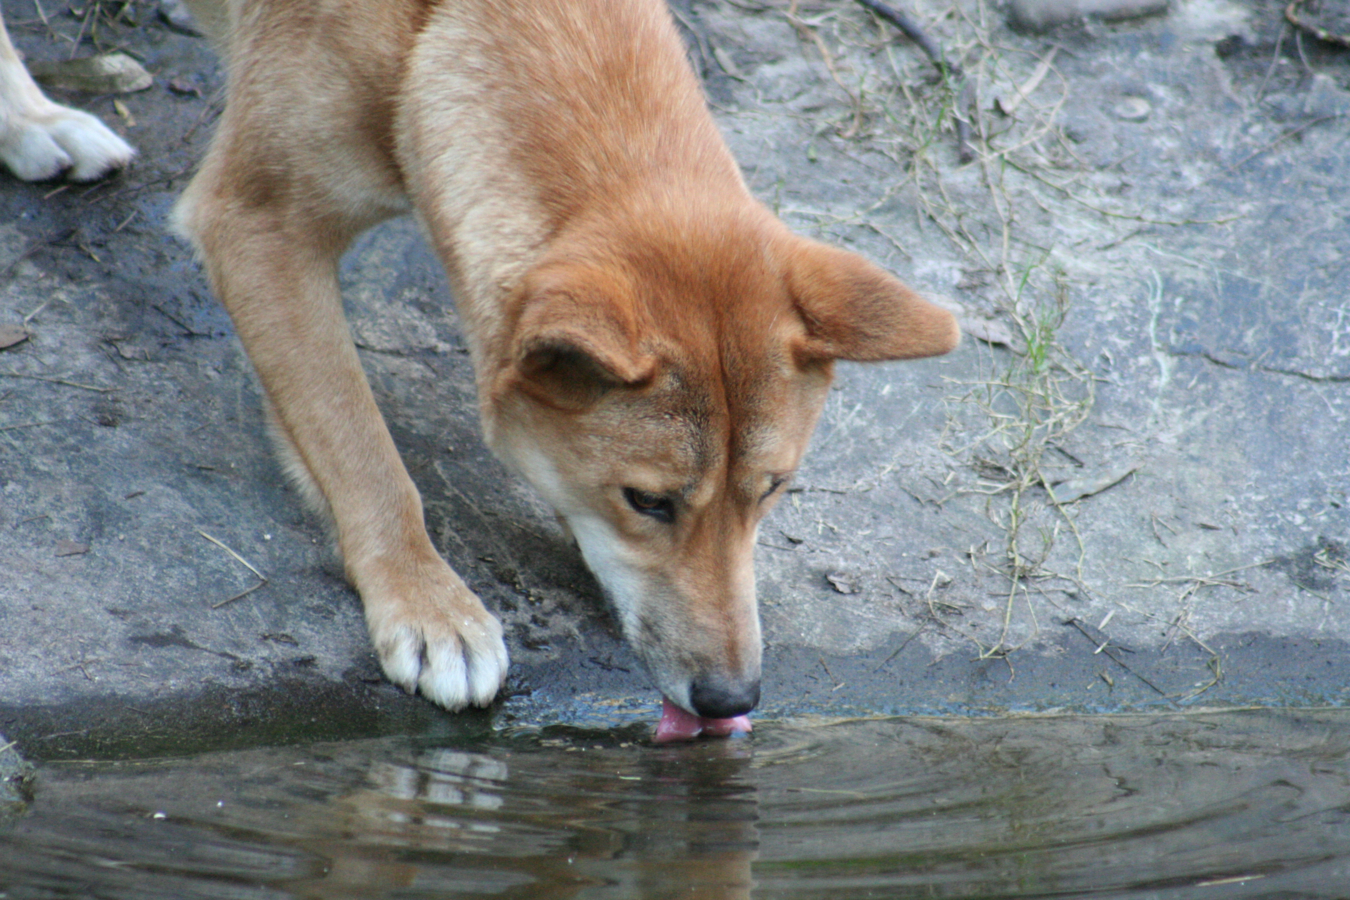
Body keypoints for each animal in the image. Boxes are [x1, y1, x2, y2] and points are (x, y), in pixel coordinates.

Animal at [176, 0, 961, 734]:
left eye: (771, 490)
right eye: (647, 501)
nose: (732, 699)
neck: (434, 30)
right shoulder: (257, 225)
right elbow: (364, 452)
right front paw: (428, 602)